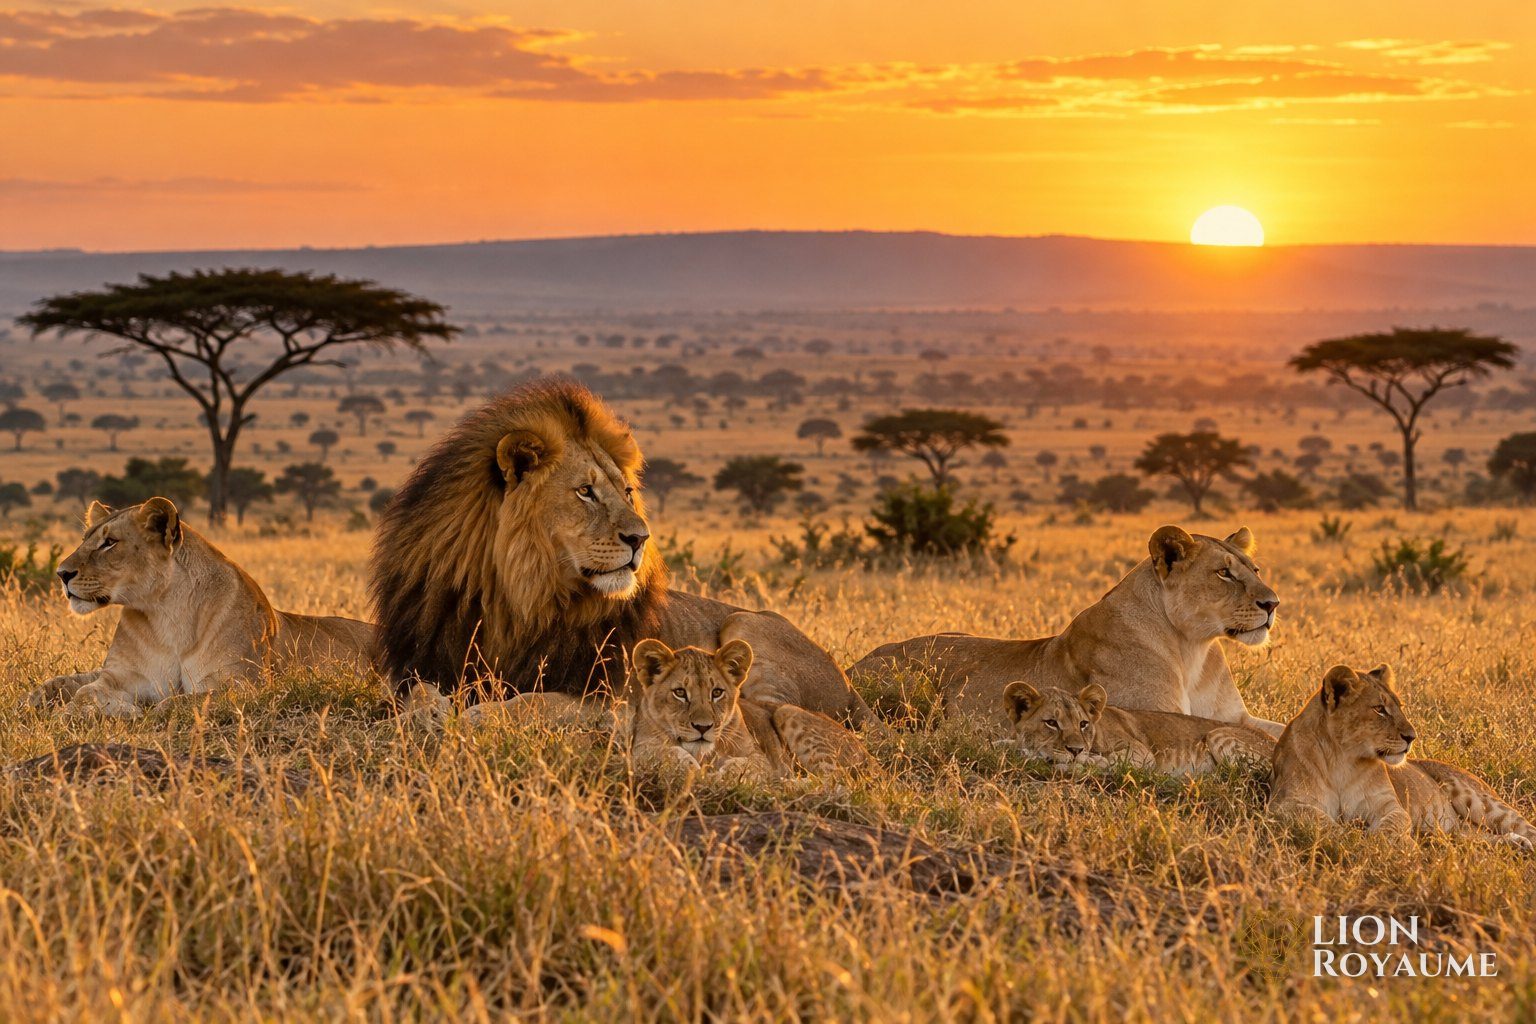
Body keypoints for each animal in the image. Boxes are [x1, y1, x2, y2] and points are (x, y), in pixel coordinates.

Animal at [27, 498, 375, 718]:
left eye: (109, 542)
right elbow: (85, 691)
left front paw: (133, 712)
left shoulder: (245, 686)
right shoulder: (126, 675)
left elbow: (175, 704)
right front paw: (96, 709)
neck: (165, 613)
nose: (61, 573)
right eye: (85, 539)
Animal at [369, 379, 874, 735]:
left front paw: (473, 716)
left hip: (746, 623)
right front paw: (416, 717)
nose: (641, 538)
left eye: (627, 491)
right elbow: (419, 696)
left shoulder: (598, 694)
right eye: (585, 492)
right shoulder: (431, 664)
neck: (515, 597)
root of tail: (852, 690)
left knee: (764, 705)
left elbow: (532, 701)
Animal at [848, 525, 1283, 736]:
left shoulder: (1237, 717)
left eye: (1255, 569)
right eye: (1224, 573)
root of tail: (856, 664)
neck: (1192, 646)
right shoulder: (1161, 718)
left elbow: (1276, 730)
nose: (1273, 604)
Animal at [1000, 681, 1275, 776]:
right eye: (1051, 723)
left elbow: (1104, 761)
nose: (1075, 750)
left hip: (1217, 734)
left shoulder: (1142, 753)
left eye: (1083, 724)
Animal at [1270, 664, 1536, 848]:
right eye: (1379, 709)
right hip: (1456, 831)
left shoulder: (1388, 804)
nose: (1412, 737)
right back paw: (1514, 845)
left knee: (1525, 828)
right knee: (1471, 836)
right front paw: (1349, 837)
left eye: (1399, 706)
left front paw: (1384, 843)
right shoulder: (1284, 803)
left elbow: (1393, 823)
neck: (1342, 760)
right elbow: (1319, 820)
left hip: (1482, 803)